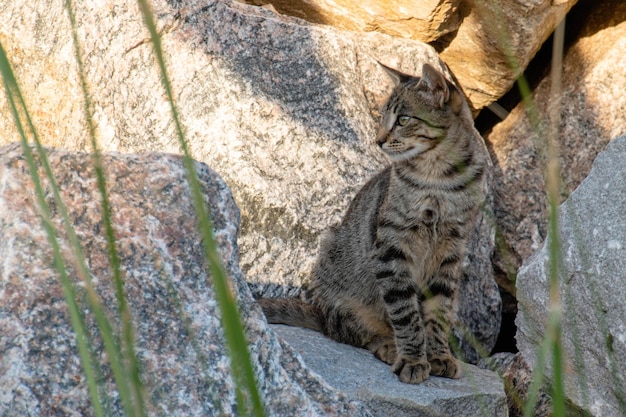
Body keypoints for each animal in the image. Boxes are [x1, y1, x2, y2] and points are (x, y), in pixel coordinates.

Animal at [258, 62, 488, 384]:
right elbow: (405, 313)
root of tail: (322, 313)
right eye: (381, 117)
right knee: (354, 332)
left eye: (403, 119)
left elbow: (438, 314)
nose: (378, 140)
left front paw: (439, 356)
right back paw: (390, 347)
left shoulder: (451, 251)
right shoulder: (392, 248)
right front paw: (413, 359)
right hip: (339, 273)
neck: (439, 180)